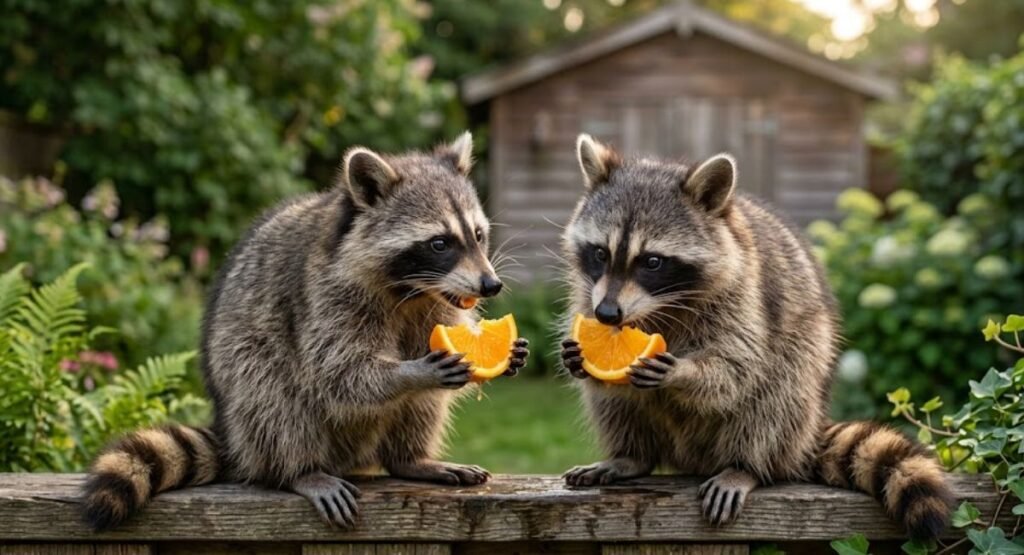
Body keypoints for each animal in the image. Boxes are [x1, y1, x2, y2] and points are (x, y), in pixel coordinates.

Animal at [81, 132, 529, 530]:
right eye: (439, 243)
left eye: (477, 235)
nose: (491, 285)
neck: (411, 288)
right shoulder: (326, 295)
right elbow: (339, 371)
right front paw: (411, 371)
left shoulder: (434, 302)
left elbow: (430, 343)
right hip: (245, 373)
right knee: (275, 396)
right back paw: (300, 469)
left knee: (421, 407)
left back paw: (410, 458)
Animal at [559, 134, 952, 540]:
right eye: (600, 253)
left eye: (652, 262)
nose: (608, 315)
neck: (658, 307)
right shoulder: (589, 291)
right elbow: (604, 380)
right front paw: (581, 359)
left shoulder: (743, 293)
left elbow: (737, 367)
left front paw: (684, 372)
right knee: (616, 405)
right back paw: (632, 455)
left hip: (803, 363)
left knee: (776, 393)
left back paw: (746, 466)